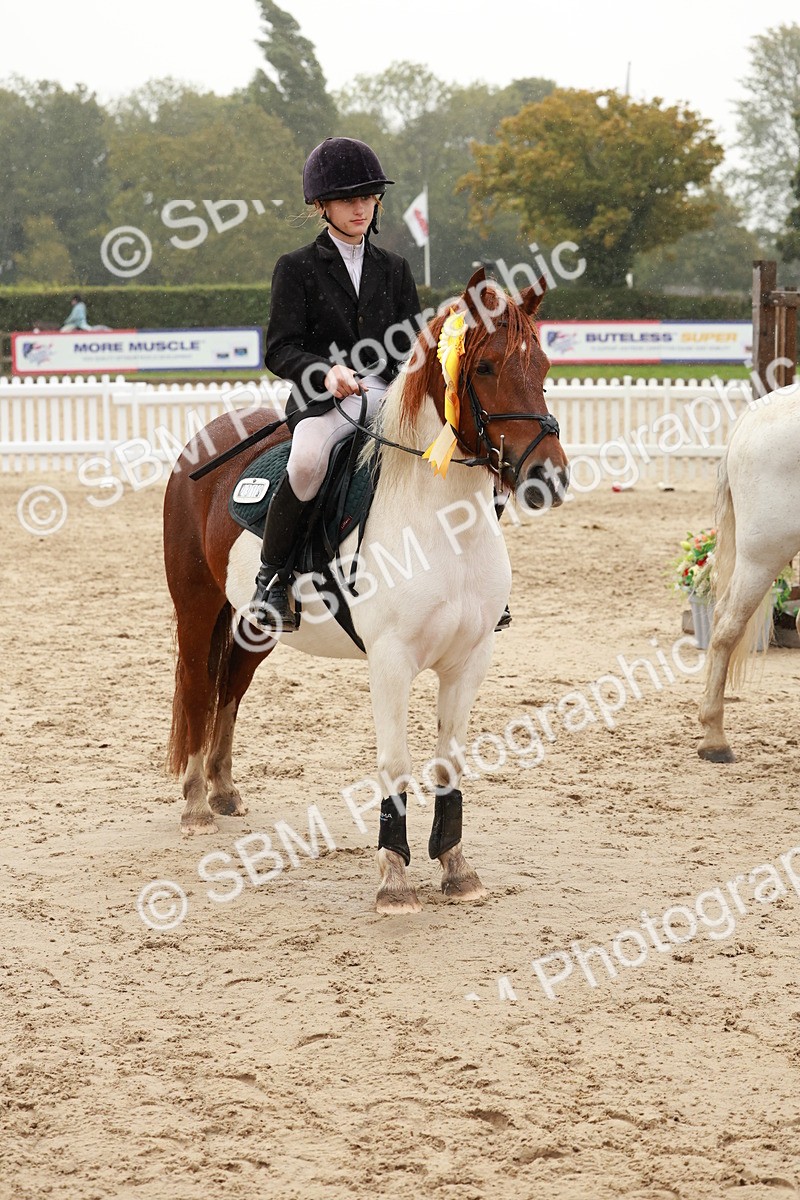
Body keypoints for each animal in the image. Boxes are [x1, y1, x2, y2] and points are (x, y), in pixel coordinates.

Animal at [163, 269, 569, 913]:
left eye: (546, 364)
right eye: (485, 368)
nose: (548, 477)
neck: (441, 522)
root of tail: (204, 443)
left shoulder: (470, 659)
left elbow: (449, 762)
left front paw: (456, 868)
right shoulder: (391, 660)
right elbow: (395, 763)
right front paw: (394, 879)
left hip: (255, 627)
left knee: (230, 691)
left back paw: (224, 792)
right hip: (198, 608)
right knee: (201, 692)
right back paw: (198, 803)